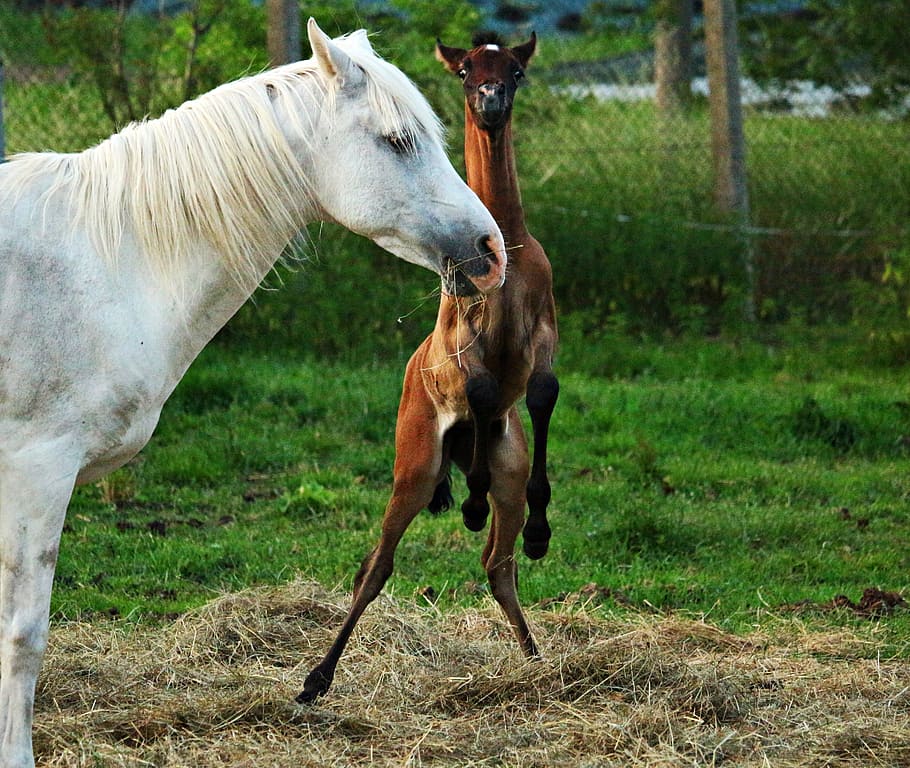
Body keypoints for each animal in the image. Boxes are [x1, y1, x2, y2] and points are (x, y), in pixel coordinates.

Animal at [298, 31, 558, 704]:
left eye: (515, 71)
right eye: (466, 71)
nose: (491, 102)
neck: (510, 244)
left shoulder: (545, 328)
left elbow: (541, 391)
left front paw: (541, 528)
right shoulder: (458, 337)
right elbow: (484, 386)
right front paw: (470, 502)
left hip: (510, 467)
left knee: (498, 564)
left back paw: (537, 657)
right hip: (414, 464)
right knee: (377, 563)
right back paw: (315, 679)